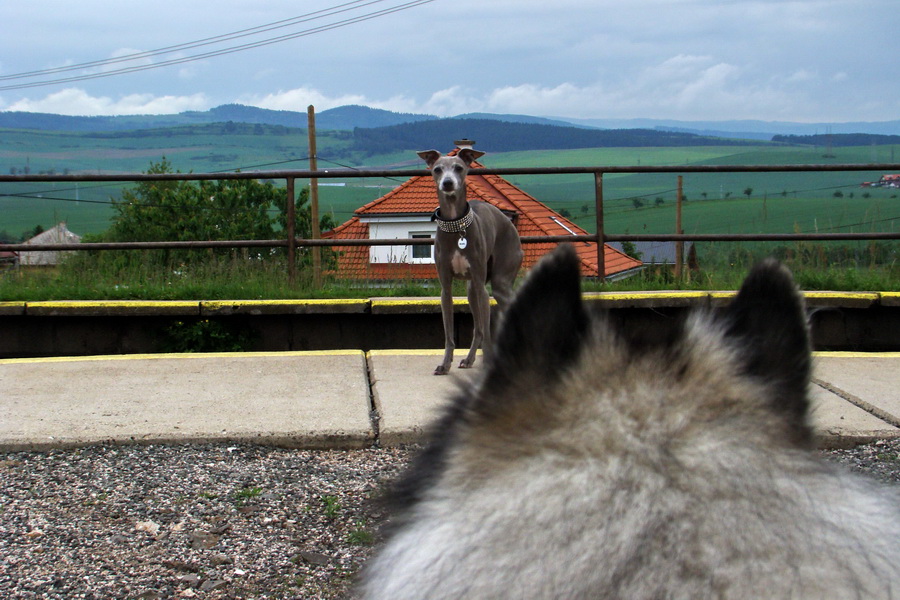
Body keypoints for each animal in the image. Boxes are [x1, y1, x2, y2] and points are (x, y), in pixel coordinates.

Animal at [418, 149, 524, 376]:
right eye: (437, 169)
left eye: (459, 168)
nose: (448, 183)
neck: (455, 225)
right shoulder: (446, 289)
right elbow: (450, 334)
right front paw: (445, 364)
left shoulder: (481, 288)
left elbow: (486, 330)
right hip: (471, 292)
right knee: (478, 329)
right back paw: (469, 359)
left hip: (500, 283)